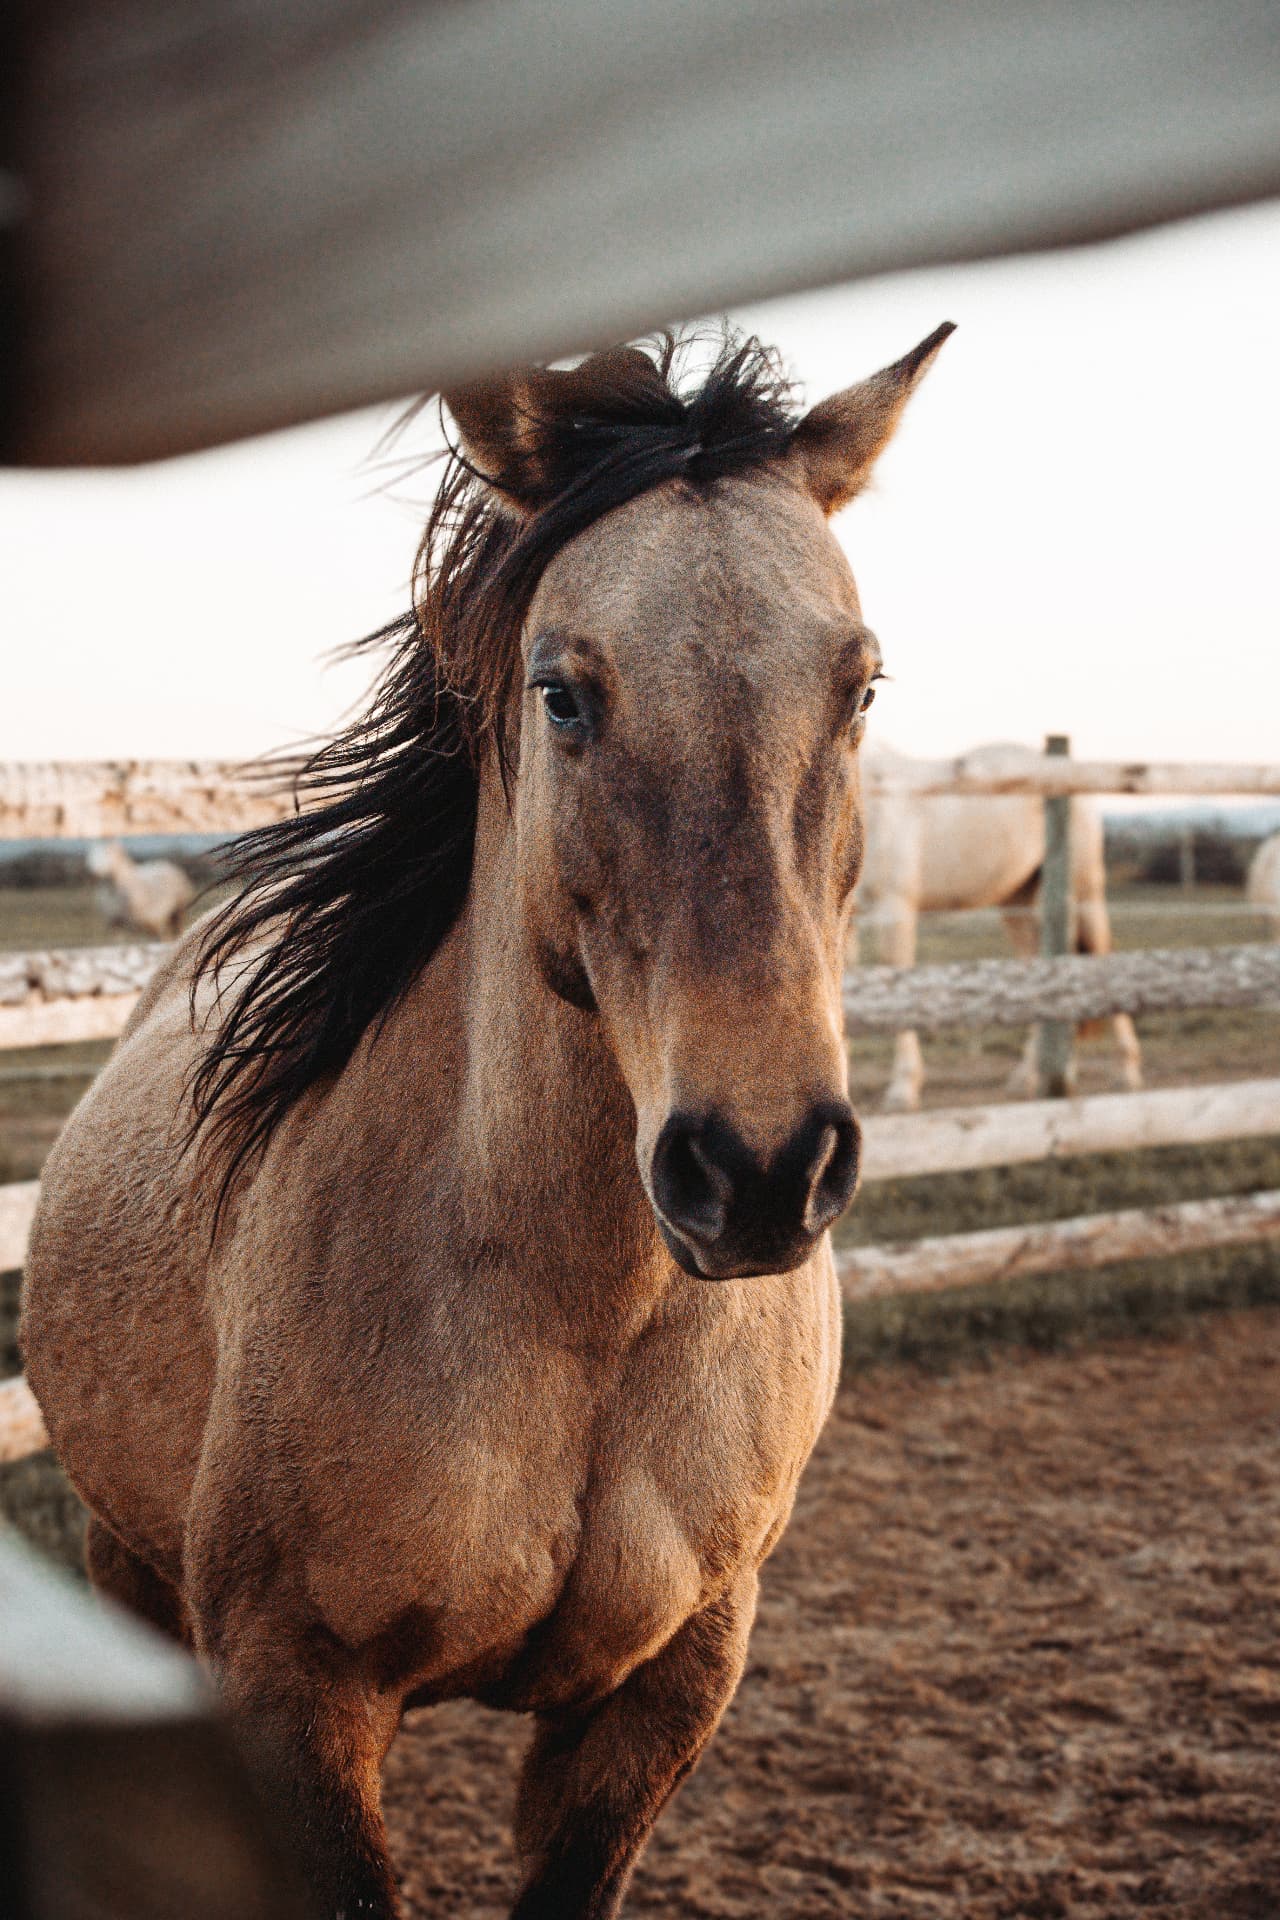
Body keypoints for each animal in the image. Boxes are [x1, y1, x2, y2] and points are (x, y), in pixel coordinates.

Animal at [22, 321, 952, 1920]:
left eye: (863, 687)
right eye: (562, 690)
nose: (758, 1166)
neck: (578, 1313)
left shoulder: (669, 1688)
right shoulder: (296, 1692)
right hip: (122, 1564)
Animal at [853, 742, 1143, 1110]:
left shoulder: (895, 908)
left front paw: (903, 1090)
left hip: (1083, 895)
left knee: (1099, 960)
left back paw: (1125, 1072)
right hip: (1018, 904)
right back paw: (1033, 1076)